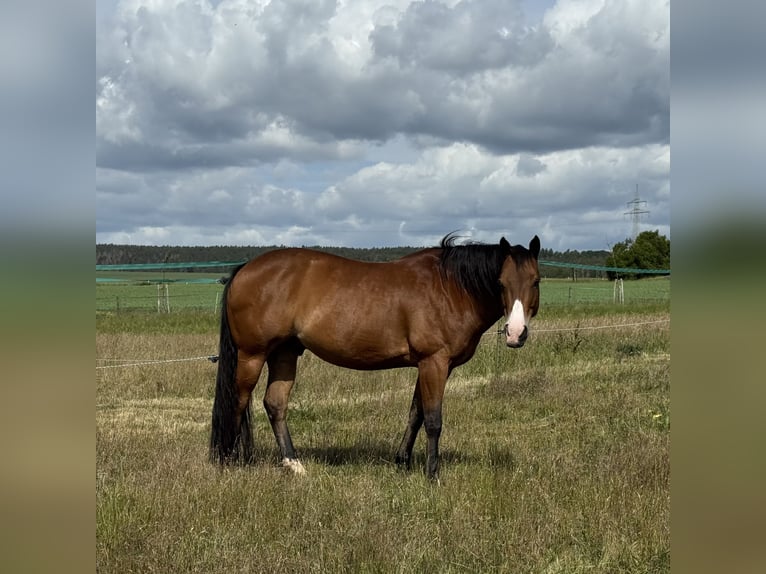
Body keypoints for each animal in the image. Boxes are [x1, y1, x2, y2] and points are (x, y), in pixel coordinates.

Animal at [210, 233, 541, 480]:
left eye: (535, 281)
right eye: (501, 283)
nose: (515, 332)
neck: (450, 287)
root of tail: (245, 268)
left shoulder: (430, 366)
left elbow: (416, 414)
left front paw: (402, 462)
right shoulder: (434, 362)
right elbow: (433, 419)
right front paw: (432, 474)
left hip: (284, 353)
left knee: (275, 404)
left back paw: (293, 464)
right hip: (252, 355)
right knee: (238, 402)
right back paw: (229, 462)